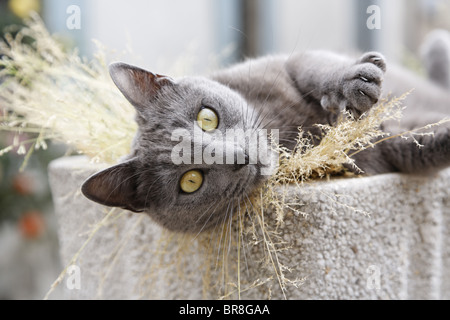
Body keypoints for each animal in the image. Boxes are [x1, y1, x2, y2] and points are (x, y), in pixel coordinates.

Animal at [81, 31, 450, 232]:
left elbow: (315, 67)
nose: (240, 157)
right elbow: (418, 146)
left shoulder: (284, 64)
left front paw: (354, 85)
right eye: (190, 181)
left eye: (207, 118)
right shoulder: (382, 152)